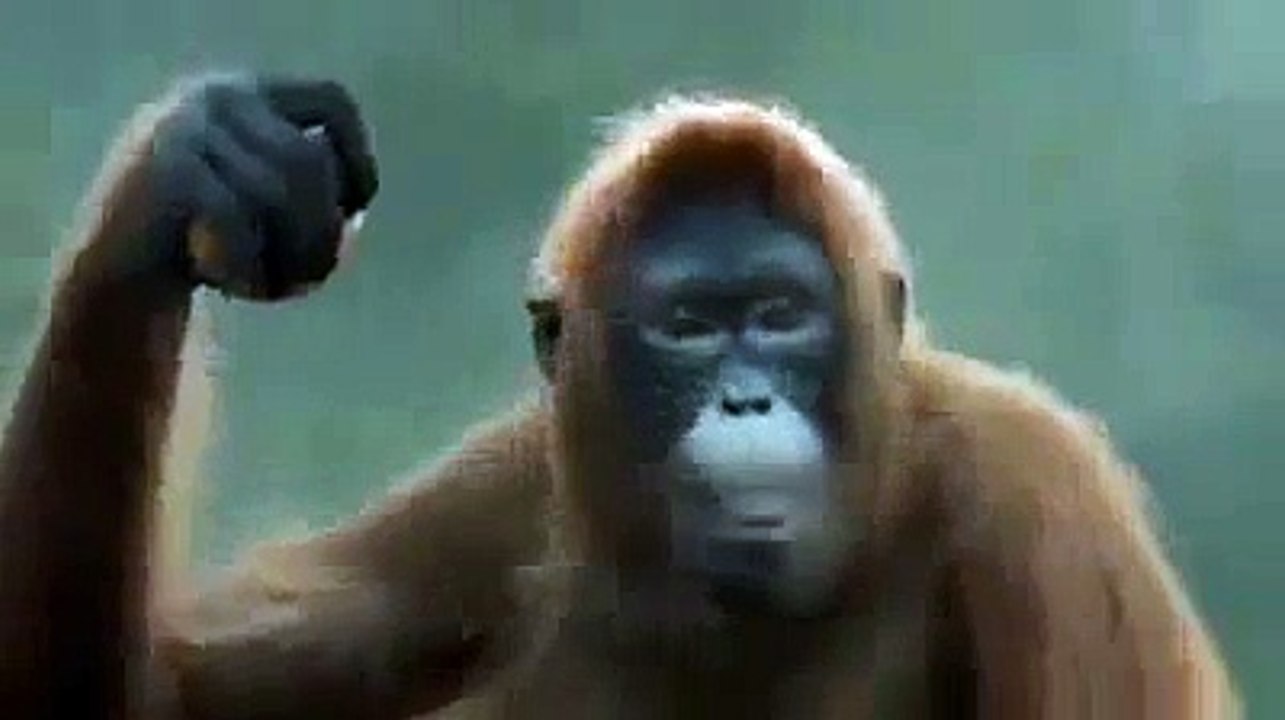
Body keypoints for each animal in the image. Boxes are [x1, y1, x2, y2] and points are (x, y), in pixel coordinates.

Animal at [0, 74, 1239, 719]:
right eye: (688, 327)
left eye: (779, 316)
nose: (743, 399)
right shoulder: (504, 498)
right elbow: (120, 703)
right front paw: (187, 174)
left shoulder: (1035, 495)